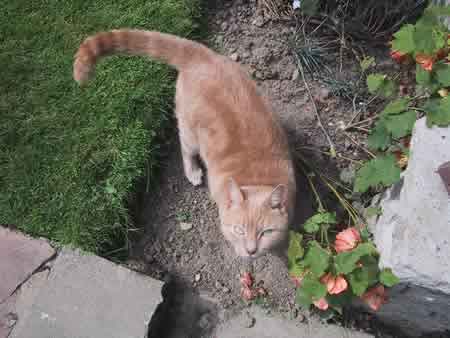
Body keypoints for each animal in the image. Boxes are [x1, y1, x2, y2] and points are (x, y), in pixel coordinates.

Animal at [73, 31, 296, 258]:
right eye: (239, 230)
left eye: (265, 232)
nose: (251, 251)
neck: (256, 177)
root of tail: (201, 54)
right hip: (190, 132)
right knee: (186, 148)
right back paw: (193, 171)